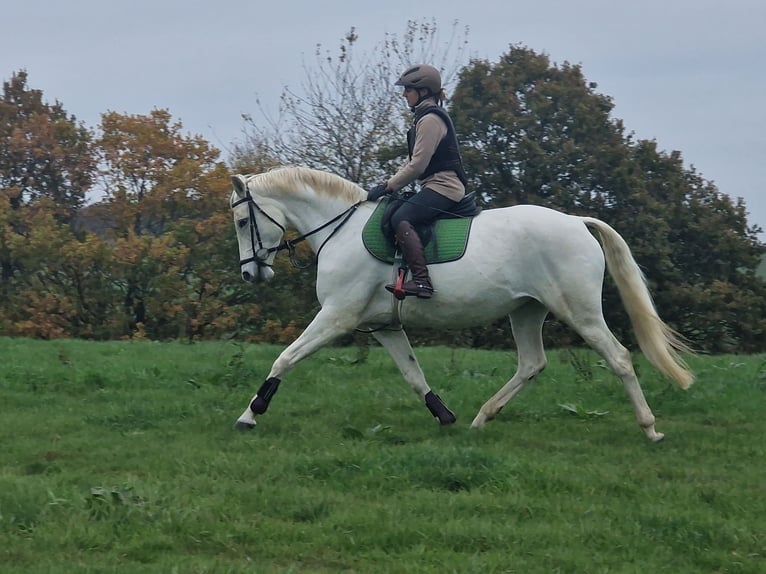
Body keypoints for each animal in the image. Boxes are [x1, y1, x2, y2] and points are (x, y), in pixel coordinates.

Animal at [230, 166, 696, 446]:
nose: (250, 275)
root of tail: (576, 221)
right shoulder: (385, 327)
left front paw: (251, 413)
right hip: (526, 310)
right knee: (532, 363)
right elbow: (413, 375)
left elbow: (285, 358)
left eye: (241, 221)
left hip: (578, 311)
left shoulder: (336, 317)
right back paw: (481, 418)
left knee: (618, 358)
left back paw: (650, 428)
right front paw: (444, 415)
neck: (339, 229)